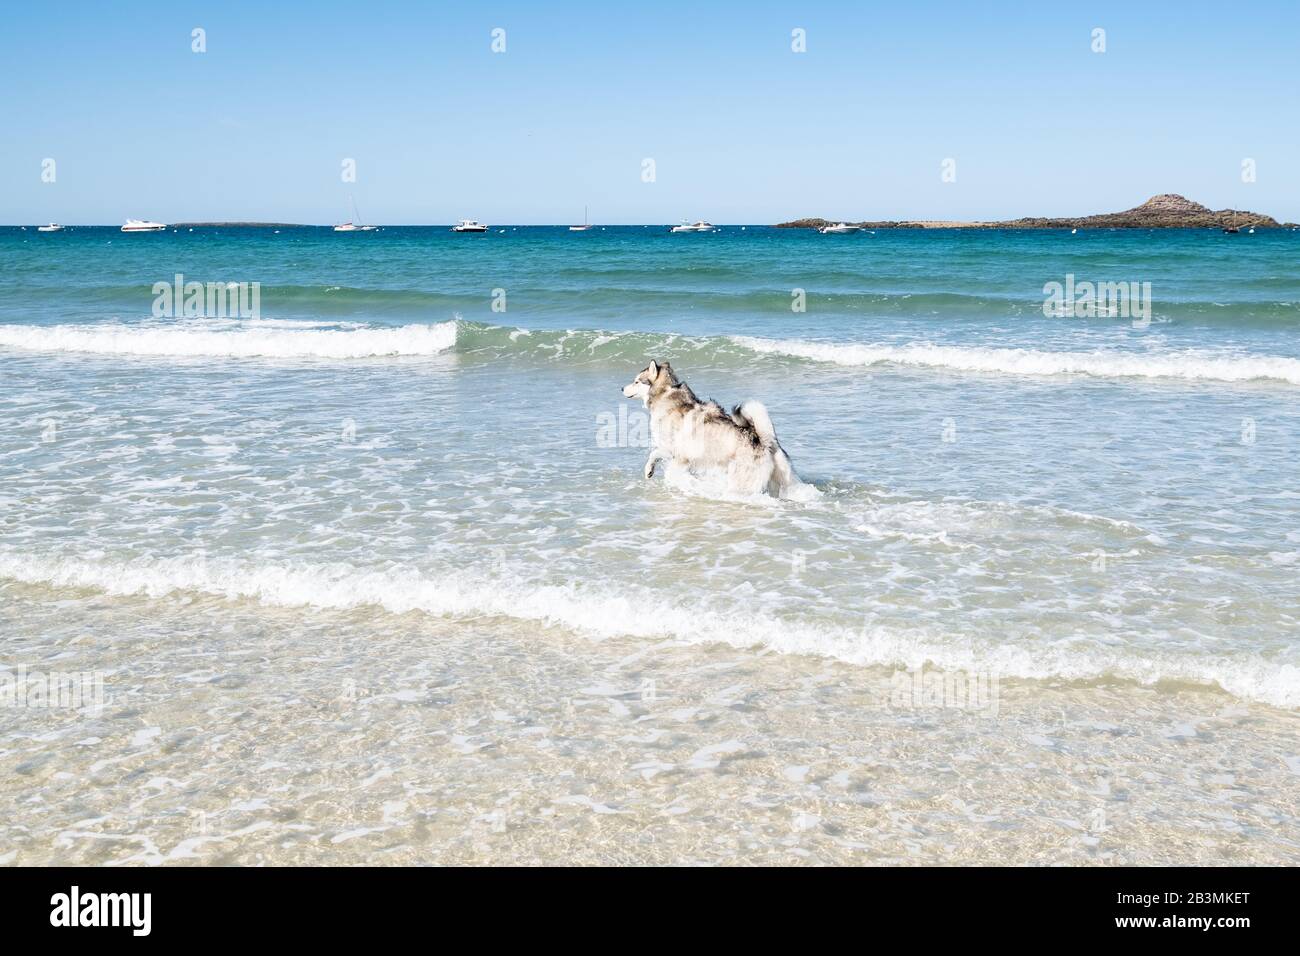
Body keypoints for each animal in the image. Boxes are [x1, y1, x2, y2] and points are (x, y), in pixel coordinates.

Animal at [621, 356, 800, 494]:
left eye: (636, 381)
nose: (622, 388)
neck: (666, 393)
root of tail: (764, 441)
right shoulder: (670, 449)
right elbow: (655, 454)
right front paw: (649, 471)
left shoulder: (678, 452)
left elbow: (663, 461)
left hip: (742, 481)